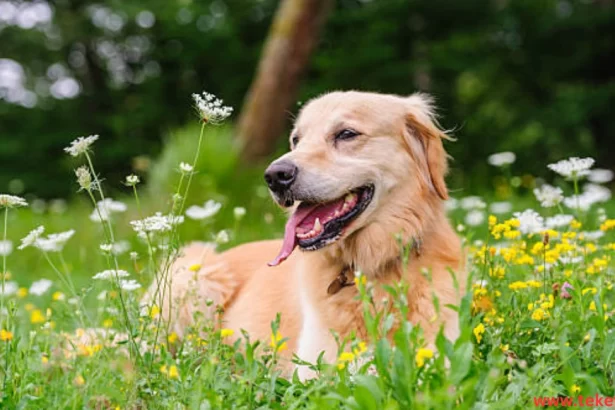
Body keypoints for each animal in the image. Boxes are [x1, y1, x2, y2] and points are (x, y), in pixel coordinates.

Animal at [143, 89, 462, 378]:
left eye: (346, 134)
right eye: (296, 140)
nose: (275, 176)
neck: (368, 267)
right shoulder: (314, 367)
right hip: (196, 276)